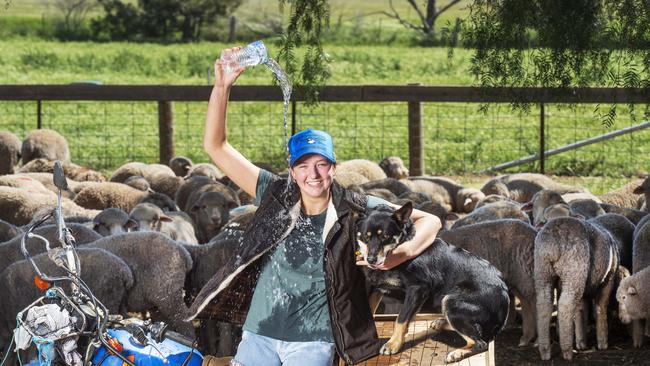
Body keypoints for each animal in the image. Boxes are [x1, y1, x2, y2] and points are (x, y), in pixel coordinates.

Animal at [356, 203, 508, 364]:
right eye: (365, 237)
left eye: (385, 236)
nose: (371, 260)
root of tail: (505, 299)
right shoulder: (375, 286)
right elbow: (368, 311)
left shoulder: (417, 289)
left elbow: (401, 319)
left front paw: (393, 344)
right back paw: (441, 323)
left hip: (451, 301)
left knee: (480, 343)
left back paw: (457, 353)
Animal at [532, 217, 616, 360]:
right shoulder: (608, 279)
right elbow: (601, 307)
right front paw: (602, 342)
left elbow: (580, 309)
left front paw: (581, 341)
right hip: (574, 270)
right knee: (566, 305)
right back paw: (567, 351)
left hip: (543, 269)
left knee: (544, 303)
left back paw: (545, 351)